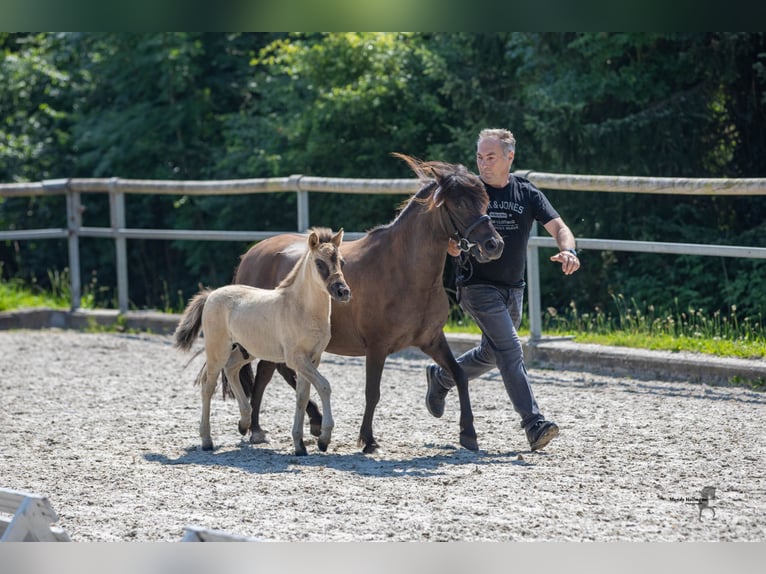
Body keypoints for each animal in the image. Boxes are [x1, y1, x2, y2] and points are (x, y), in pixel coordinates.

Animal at [175, 227, 352, 456]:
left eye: (342, 262)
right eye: (319, 263)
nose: (343, 291)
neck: (302, 309)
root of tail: (212, 294)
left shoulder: (313, 359)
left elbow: (302, 396)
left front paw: (300, 445)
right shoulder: (296, 359)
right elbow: (324, 386)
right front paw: (323, 439)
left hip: (246, 350)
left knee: (231, 368)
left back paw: (244, 423)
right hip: (217, 349)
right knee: (208, 385)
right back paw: (207, 440)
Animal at [237, 154, 508, 454]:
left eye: (485, 201)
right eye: (459, 204)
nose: (494, 245)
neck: (403, 270)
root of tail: (253, 253)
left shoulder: (432, 340)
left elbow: (460, 374)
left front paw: (469, 433)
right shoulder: (377, 347)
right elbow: (372, 392)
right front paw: (368, 440)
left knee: (276, 372)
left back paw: (302, 422)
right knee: (267, 375)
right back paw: (258, 428)